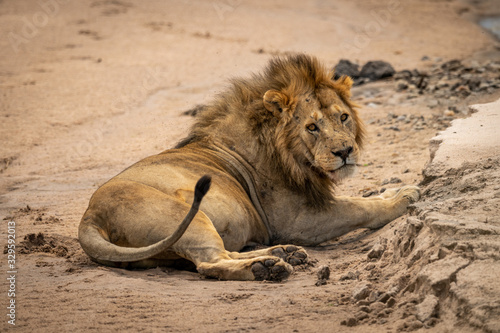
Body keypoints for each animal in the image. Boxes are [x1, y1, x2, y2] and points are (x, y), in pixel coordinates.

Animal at [79, 53, 422, 280]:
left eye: (343, 117)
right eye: (312, 127)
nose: (345, 151)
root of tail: (90, 217)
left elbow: (359, 198)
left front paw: (395, 189)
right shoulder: (298, 221)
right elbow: (357, 207)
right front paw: (402, 199)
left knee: (220, 254)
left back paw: (281, 254)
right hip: (187, 216)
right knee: (210, 262)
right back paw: (266, 268)